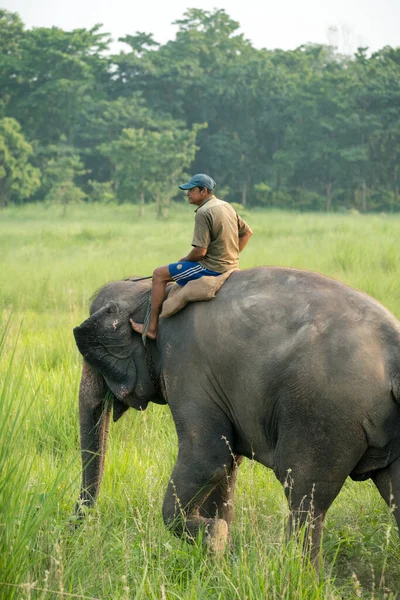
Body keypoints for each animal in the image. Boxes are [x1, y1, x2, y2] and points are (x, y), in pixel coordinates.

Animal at [73, 268, 400, 556]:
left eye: (93, 360)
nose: (75, 528)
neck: (147, 294)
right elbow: (228, 465)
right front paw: (221, 556)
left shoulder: (185, 369)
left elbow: (209, 460)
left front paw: (215, 538)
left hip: (324, 417)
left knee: (305, 497)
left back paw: (297, 574)